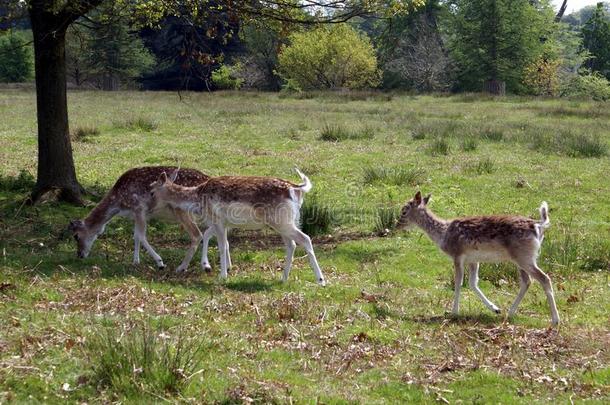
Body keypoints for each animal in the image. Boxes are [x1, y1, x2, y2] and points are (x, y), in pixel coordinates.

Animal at [68, 164, 218, 272]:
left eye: (76, 236)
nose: (79, 255)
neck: (119, 203)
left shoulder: (139, 208)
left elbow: (141, 235)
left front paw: (160, 262)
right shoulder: (136, 214)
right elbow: (135, 235)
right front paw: (135, 261)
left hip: (183, 211)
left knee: (197, 234)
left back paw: (186, 267)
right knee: (209, 233)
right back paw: (207, 265)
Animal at [149, 167, 326, 284]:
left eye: (151, 191)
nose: (149, 208)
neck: (198, 199)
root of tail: (296, 189)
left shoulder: (218, 220)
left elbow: (220, 245)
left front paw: (221, 275)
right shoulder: (222, 222)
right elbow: (217, 239)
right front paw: (213, 266)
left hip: (282, 221)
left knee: (305, 238)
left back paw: (320, 280)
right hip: (285, 223)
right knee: (292, 244)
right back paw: (283, 278)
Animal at [396, 191, 560, 326]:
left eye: (404, 211)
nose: (396, 225)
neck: (443, 235)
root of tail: (538, 226)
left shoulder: (457, 255)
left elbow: (458, 283)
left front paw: (453, 312)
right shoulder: (473, 260)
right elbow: (473, 283)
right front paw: (495, 309)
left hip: (524, 257)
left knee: (544, 278)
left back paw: (555, 320)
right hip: (522, 258)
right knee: (527, 281)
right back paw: (510, 312)